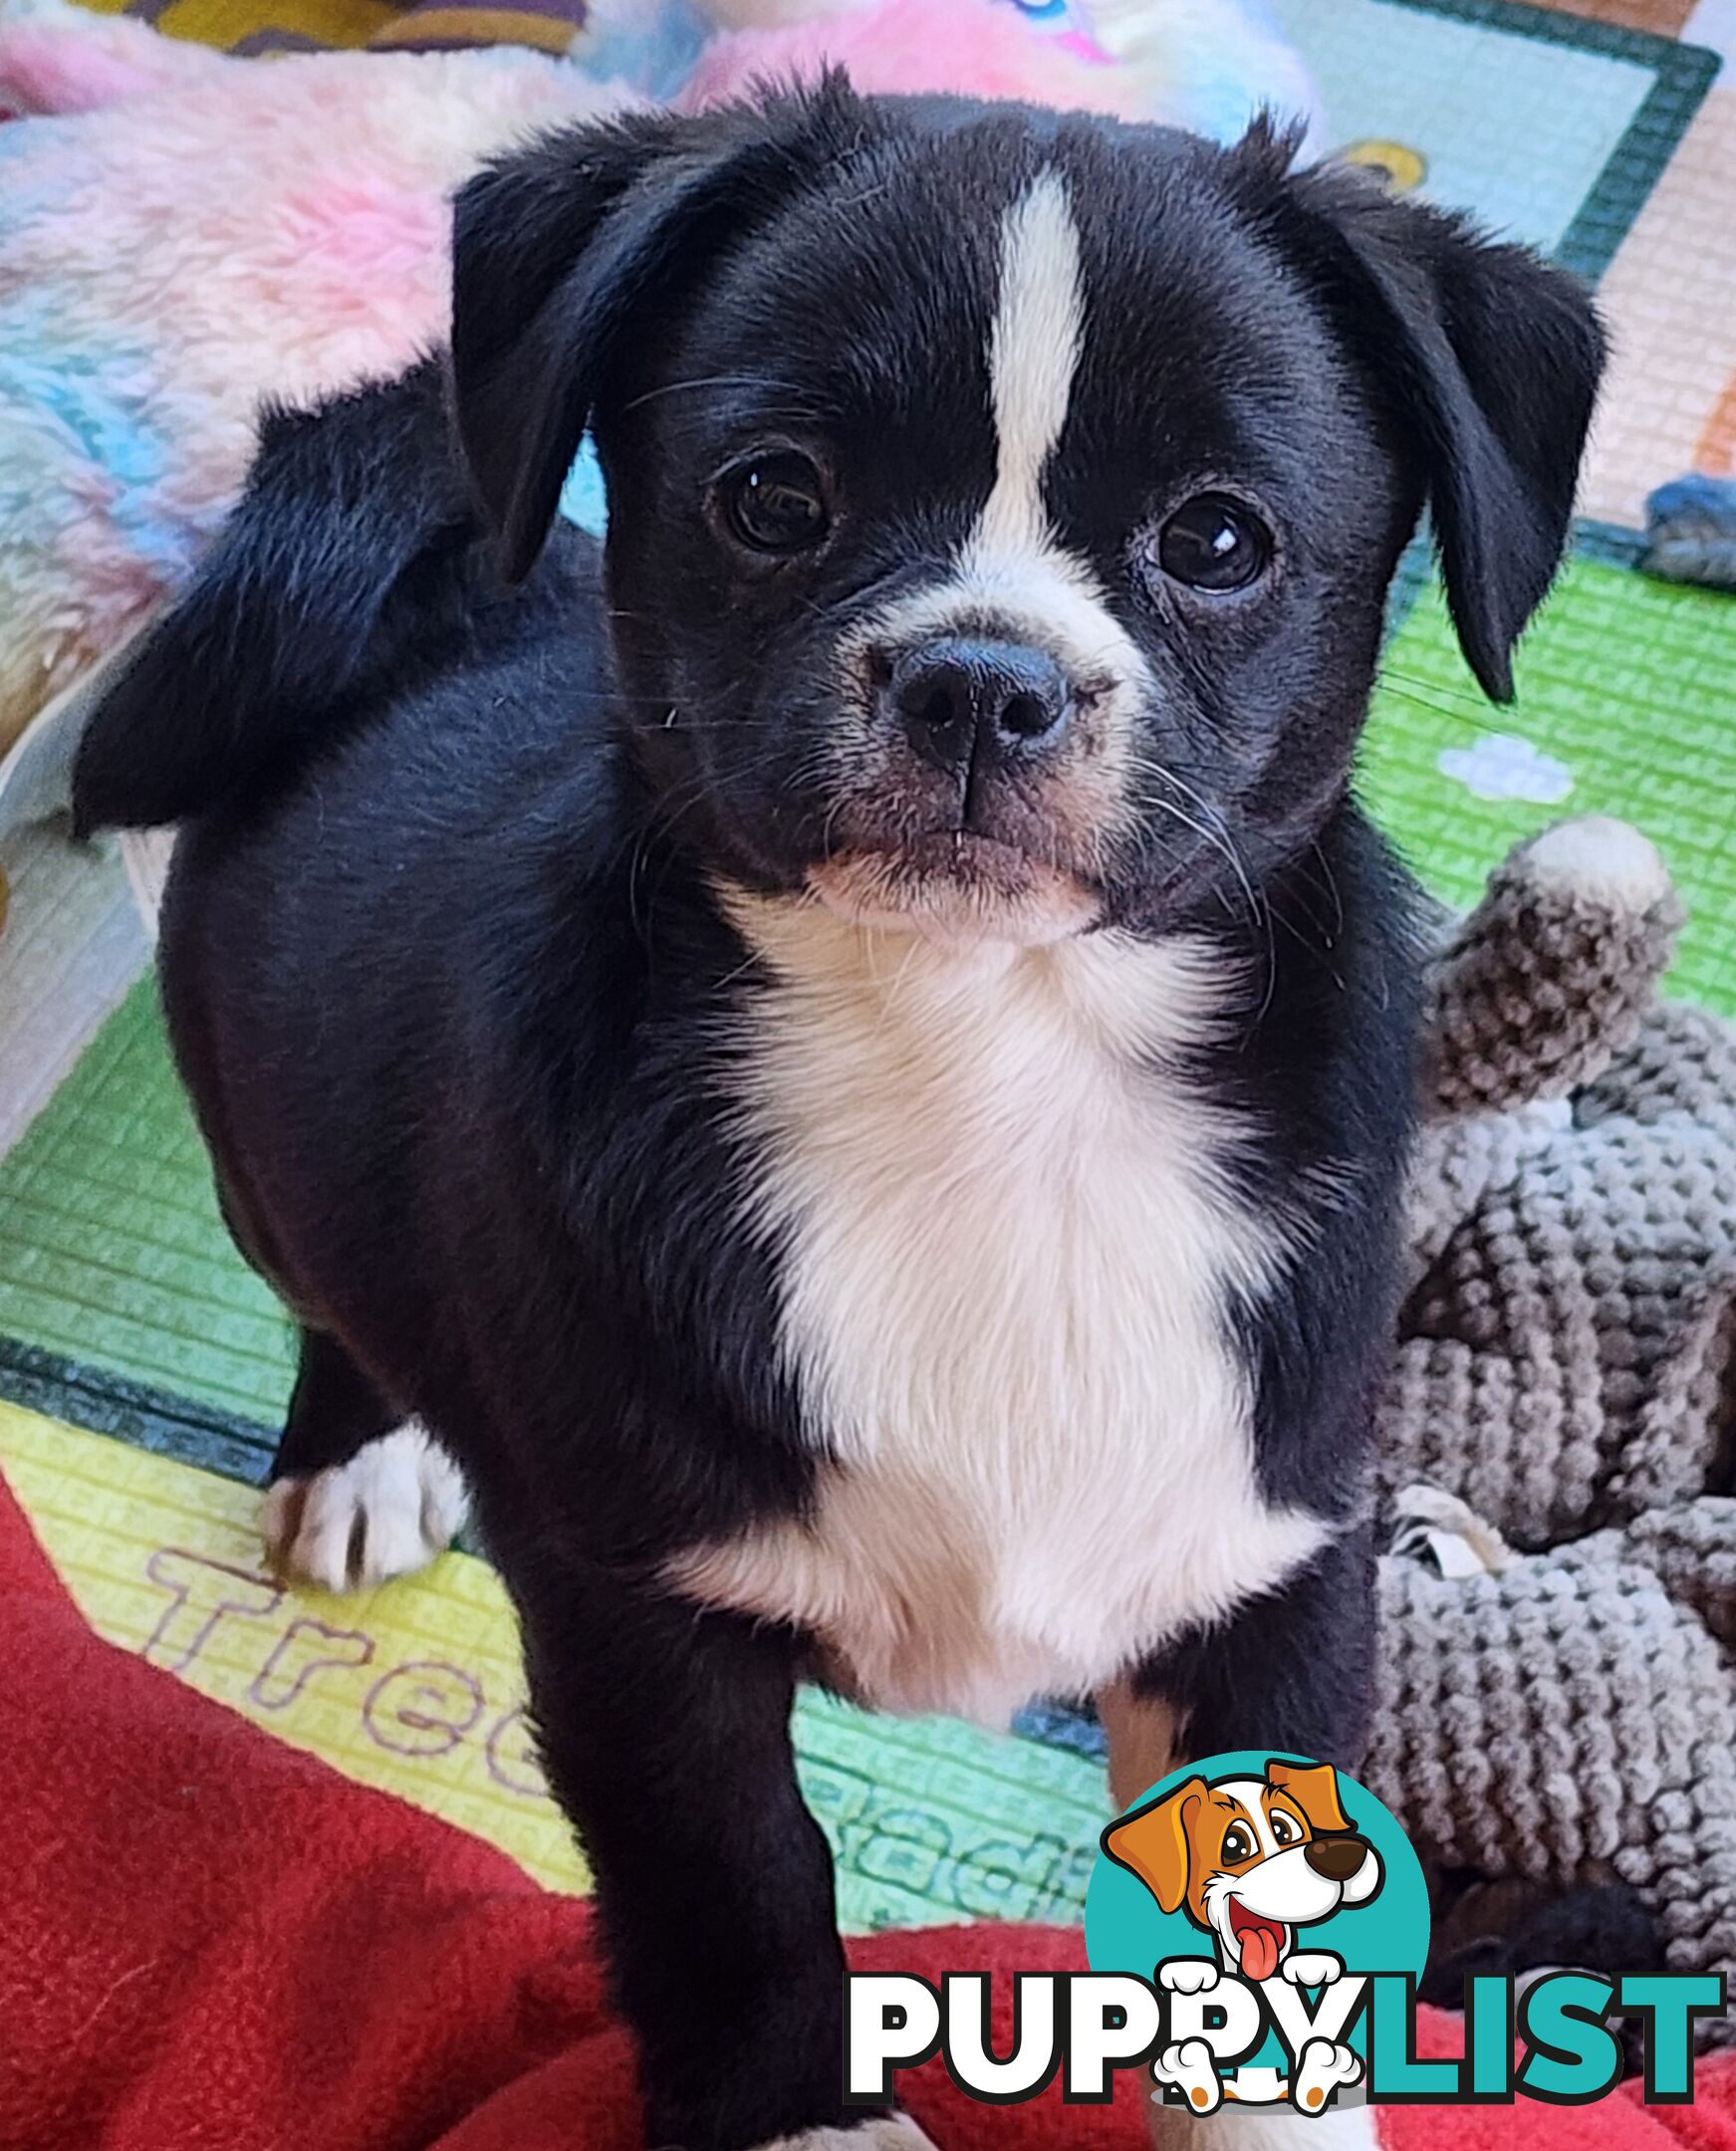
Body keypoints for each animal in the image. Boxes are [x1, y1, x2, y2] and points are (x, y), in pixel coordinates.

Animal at [78, 79, 1600, 2151]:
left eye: (1216, 538)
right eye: (773, 499)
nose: (980, 677)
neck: (982, 1069)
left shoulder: (1270, 1558)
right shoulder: (638, 1617)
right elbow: (734, 1885)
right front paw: (800, 2112)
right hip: (263, 1150)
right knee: (336, 1292)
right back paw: (360, 1458)